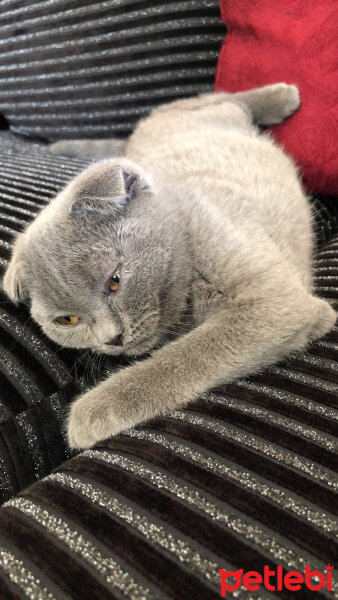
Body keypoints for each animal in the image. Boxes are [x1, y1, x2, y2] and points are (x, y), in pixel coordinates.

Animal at [2, 85, 336, 450]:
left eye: (114, 281)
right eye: (68, 320)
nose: (112, 338)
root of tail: (139, 133)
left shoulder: (272, 302)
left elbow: (186, 356)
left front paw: (90, 413)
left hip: (201, 112)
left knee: (215, 99)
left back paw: (282, 97)